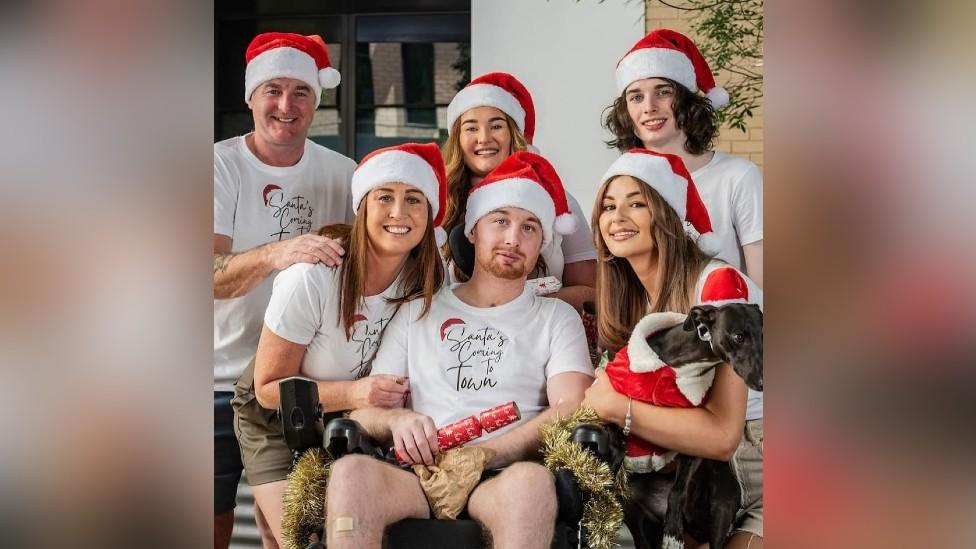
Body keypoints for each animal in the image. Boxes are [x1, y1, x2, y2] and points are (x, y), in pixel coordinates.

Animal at [604, 304, 764, 548]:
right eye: (738, 337)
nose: (763, 383)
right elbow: (612, 427)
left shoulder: (693, 439)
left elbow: (678, 490)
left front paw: (673, 532)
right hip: (633, 509)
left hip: (722, 502)